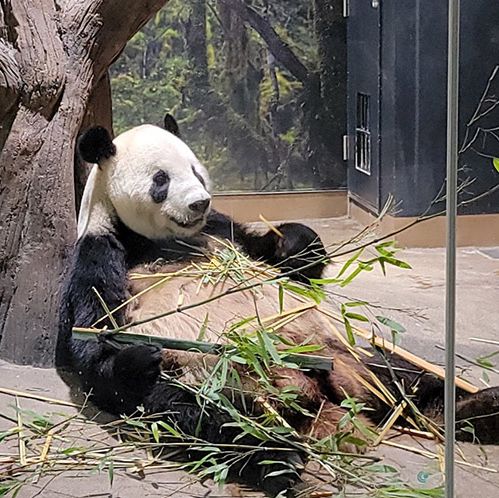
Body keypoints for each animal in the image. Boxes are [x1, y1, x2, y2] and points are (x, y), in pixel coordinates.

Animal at [57, 116, 499, 494]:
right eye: (161, 180)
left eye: (196, 170)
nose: (199, 202)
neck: (156, 239)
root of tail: (320, 404)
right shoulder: (102, 252)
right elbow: (91, 340)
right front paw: (136, 356)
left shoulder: (221, 231)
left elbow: (283, 260)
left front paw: (297, 243)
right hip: (210, 383)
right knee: (204, 418)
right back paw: (279, 457)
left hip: (343, 354)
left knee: (402, 379)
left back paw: (478, 406)